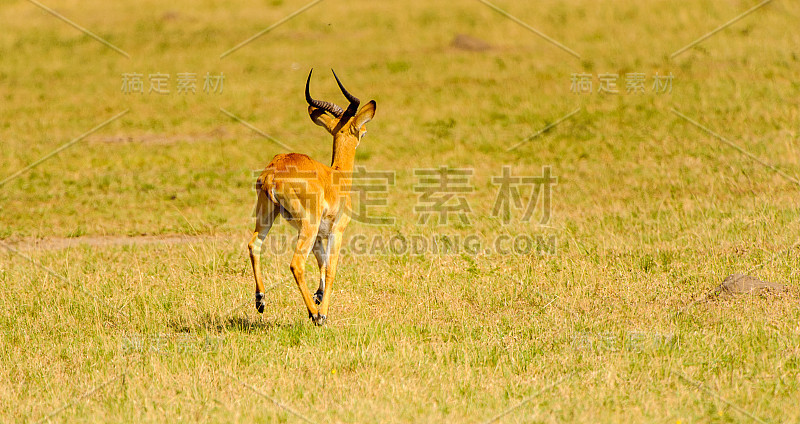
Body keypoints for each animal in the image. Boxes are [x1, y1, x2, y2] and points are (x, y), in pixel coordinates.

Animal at [248, 69, 376, 326]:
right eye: (363, 131)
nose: (365, 134)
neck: (337, 175)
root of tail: (273, 173)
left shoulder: (319, 235)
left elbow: (322, 263)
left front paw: (318, 295)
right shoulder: (336, 231)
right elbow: (331, 268)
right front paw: (322, 311)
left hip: (268, 216)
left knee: (253, 244)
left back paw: (261, 301)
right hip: (308, 224)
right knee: (296, 264)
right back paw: (315, 315)